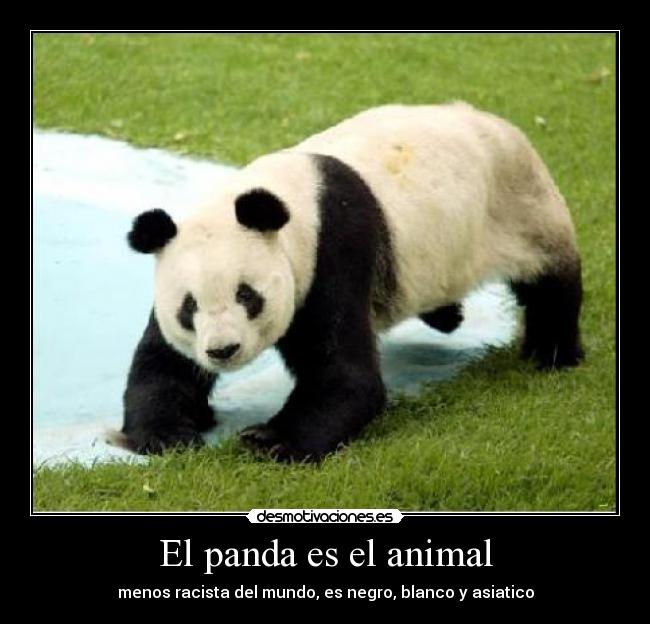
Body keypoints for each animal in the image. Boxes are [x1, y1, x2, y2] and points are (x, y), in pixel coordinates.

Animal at [121, 102, 583, 461]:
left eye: (247, 296)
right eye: (189, 307)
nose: (222, 350)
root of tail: (490, 118)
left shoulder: (332, 252)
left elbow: (345, 375)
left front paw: (270, 440)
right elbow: (163, 362)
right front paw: (168, 434)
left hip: (518, 205)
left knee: (551, 280)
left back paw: (551, 351)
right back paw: (446, 314)